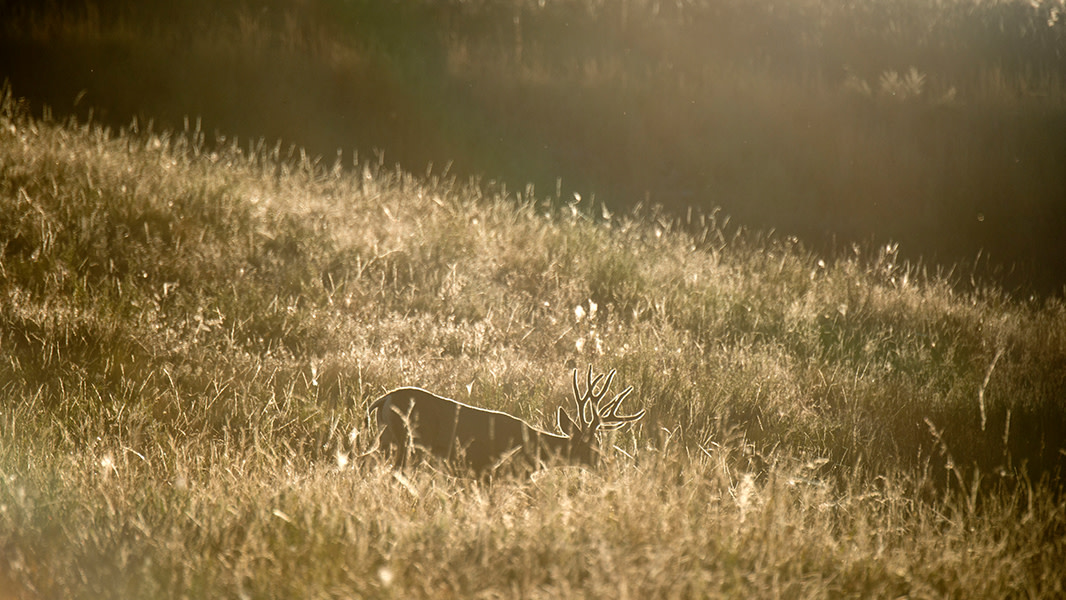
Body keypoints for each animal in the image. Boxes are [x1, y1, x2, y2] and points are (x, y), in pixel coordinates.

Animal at [367, 366, 645, 478]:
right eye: (592, 445)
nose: (609, 466)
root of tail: (383, 399)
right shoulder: (492, 474)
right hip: (407, 445)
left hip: (386, 441)